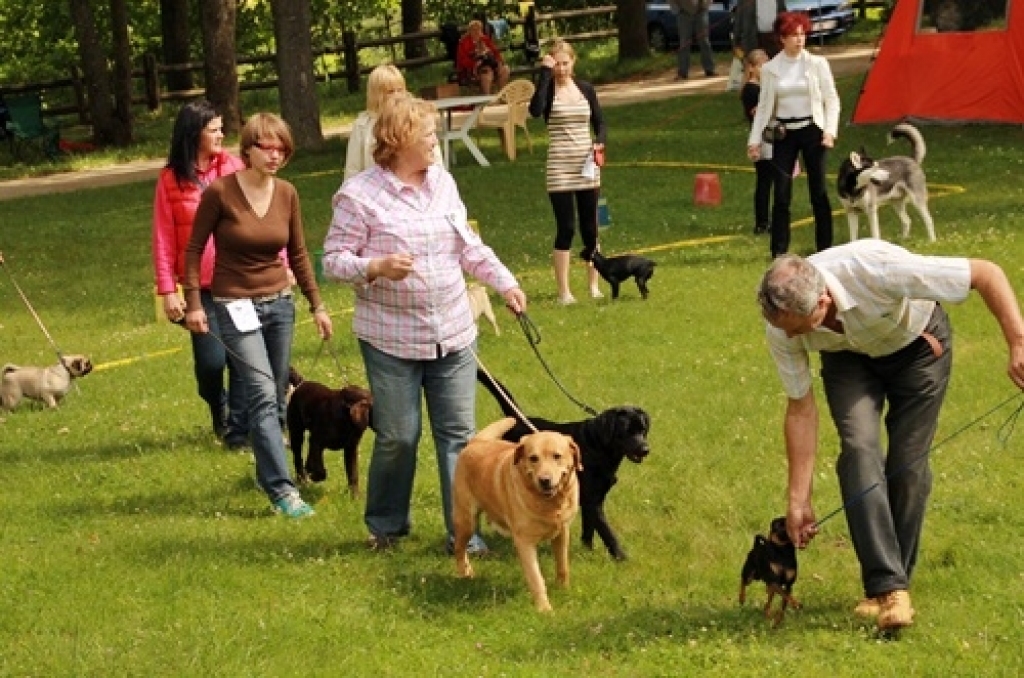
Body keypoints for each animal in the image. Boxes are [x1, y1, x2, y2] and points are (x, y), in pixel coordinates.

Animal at [477, 372, 651, 561]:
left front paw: (587, 550)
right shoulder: (592, 500)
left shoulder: (593, 498)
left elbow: (589, 528)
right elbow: (607, 531)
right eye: (626, 431)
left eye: (643, 430)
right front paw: (620, 556)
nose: (645, 450)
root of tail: (515, 418)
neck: (597, 446)